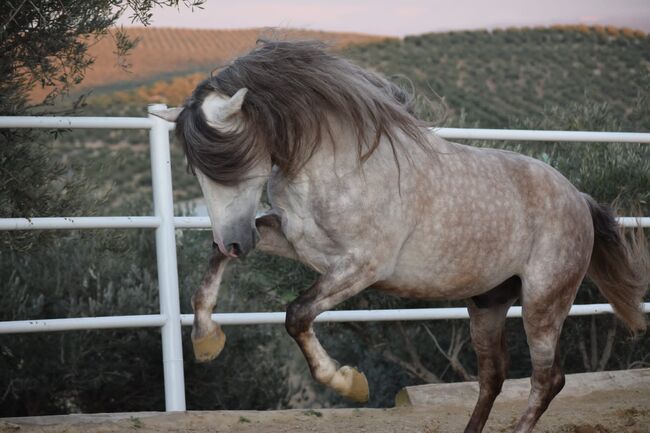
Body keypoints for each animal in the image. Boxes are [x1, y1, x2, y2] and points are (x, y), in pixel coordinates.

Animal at [153, 39, 648, 432]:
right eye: (197, 169)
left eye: (230, 160)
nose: (235, 241)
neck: (339, 164)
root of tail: (578, 197)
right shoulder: (298, 244)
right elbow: (214, 265)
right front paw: (206, 341)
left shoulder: (361, 266)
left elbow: (296, 314)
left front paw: (350, 383)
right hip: (488, 303)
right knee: (493, 377)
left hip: (544, 302)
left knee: (547, 380)